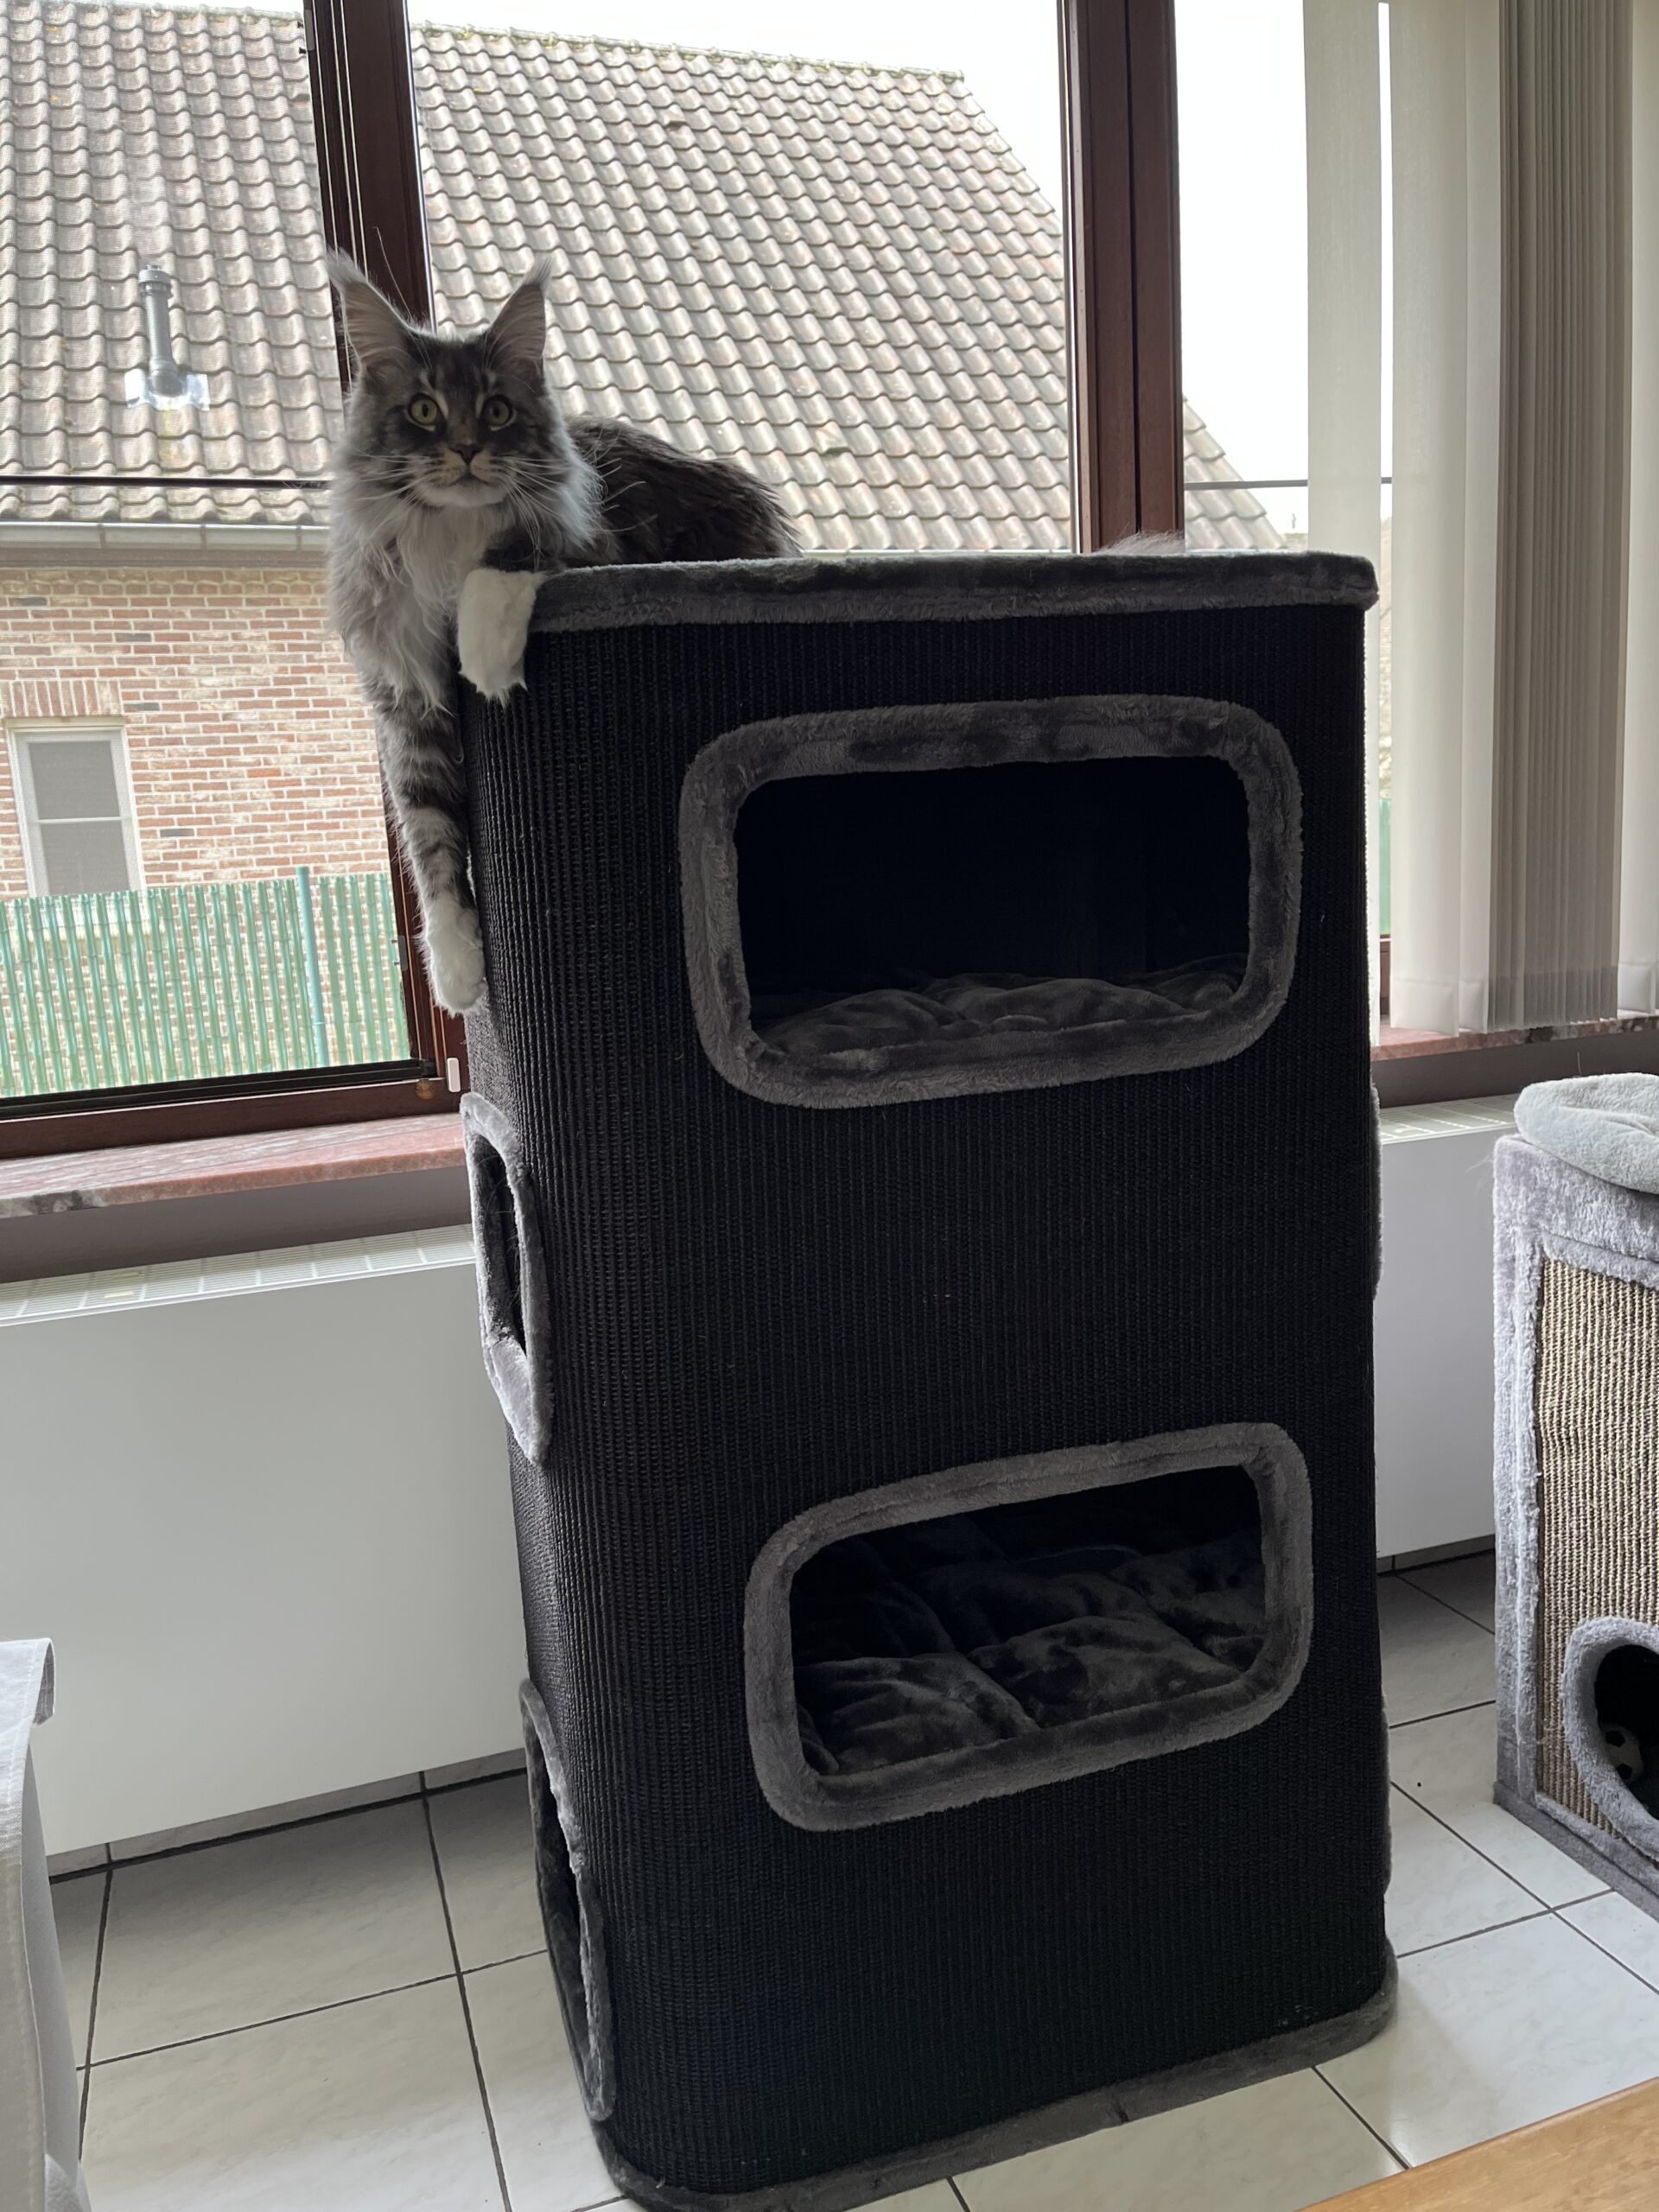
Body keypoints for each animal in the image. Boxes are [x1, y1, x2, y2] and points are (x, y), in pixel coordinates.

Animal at [325, 254, 797, 1013]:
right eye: (424, 410)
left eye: (496, 411)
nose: (465, 450)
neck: (448, 531)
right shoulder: (406, 711)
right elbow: (432, 852)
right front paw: (460, 976)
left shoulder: (593, 546)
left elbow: (505, 561)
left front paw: (486, 661)